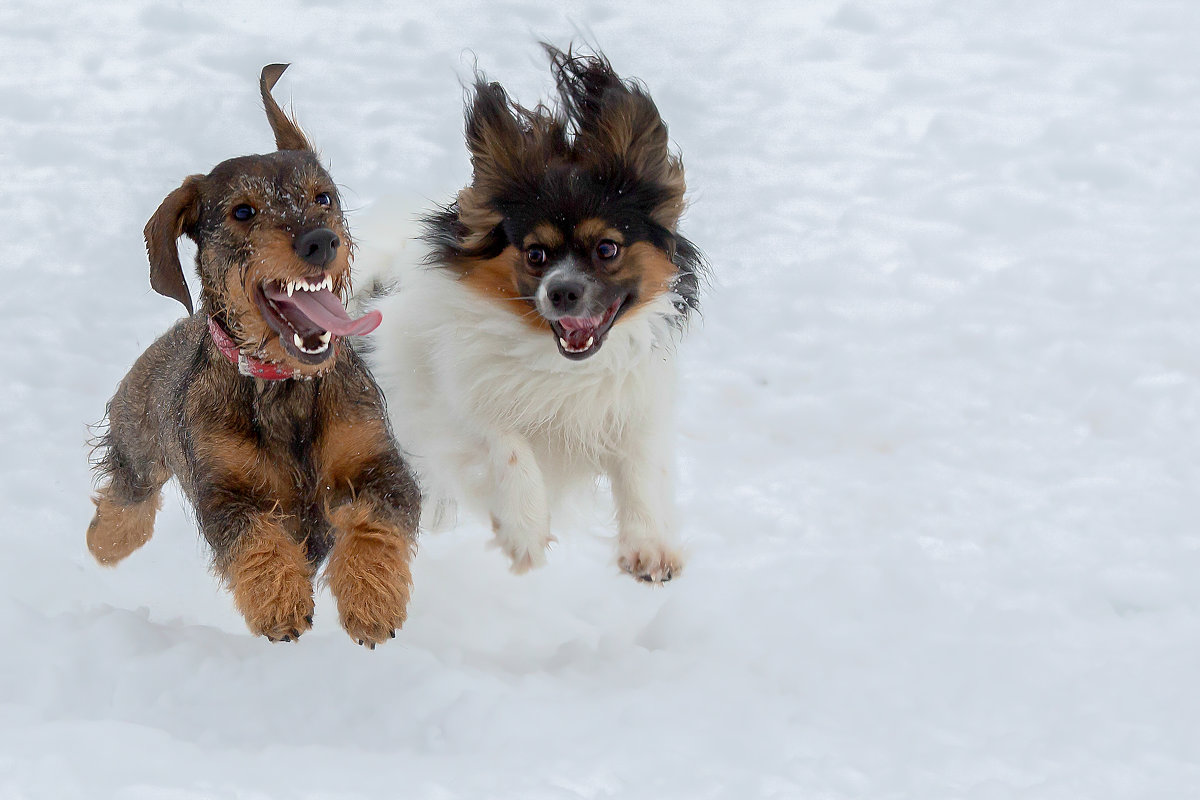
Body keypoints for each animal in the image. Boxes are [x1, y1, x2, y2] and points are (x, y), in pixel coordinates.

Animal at [87, 64, 420, 652]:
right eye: (244, 211)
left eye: (323, 198)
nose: (320, 241)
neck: (283, 386)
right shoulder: (231, 493)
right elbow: (257, 539)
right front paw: (280, 605)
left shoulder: (376, 466)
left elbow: (373, 525)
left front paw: (370, 603)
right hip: (137, 444)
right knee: (129, 503)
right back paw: (103, 540)